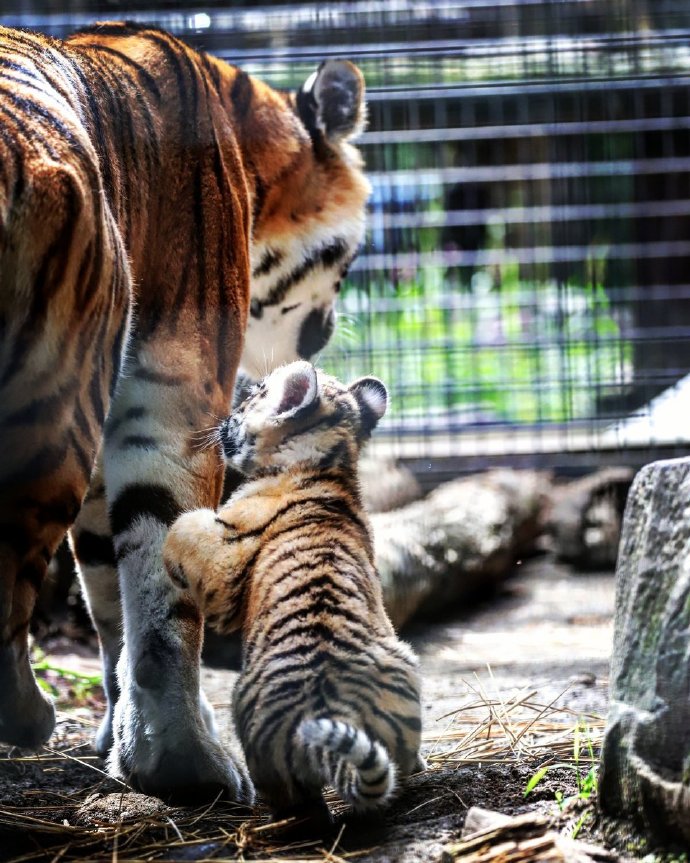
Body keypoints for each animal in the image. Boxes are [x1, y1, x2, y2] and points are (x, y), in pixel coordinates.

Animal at [0, 20, 370, 804]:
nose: (327, 331)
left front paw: (126, 739)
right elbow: (162, 593)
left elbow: (113, 596)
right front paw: (183, 759)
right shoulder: (172, 392)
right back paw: (26, 714)